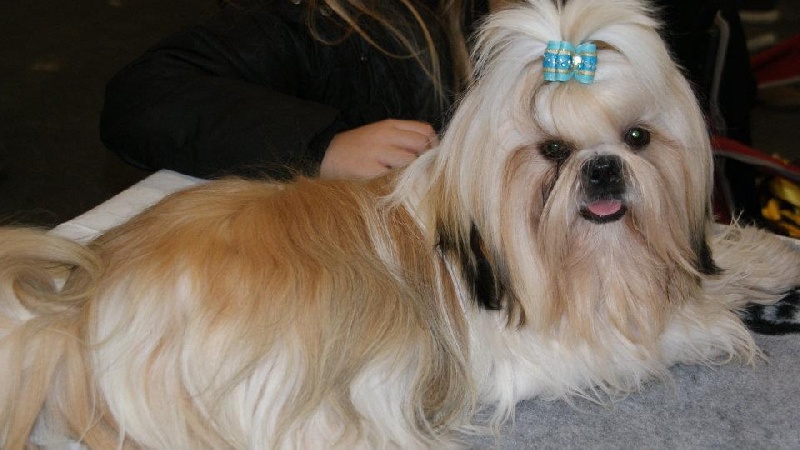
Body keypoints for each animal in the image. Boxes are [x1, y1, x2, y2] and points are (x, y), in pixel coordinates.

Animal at [2, 0, 800, 448]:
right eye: (552, 151)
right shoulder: (548, 347)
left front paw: (761, 264)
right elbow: (673, 328)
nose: (602, 169)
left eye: (637, 139)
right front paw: (721, 317)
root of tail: (80, 300)